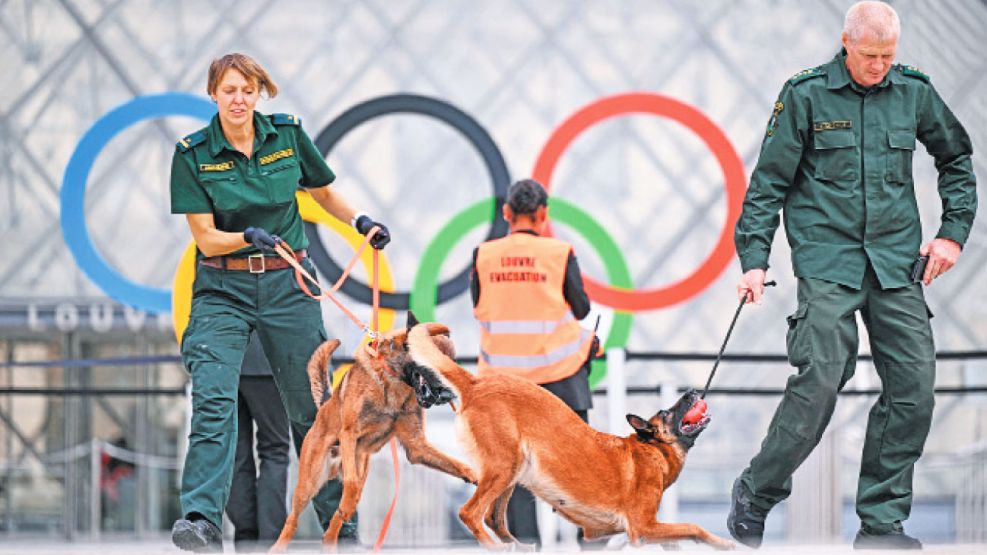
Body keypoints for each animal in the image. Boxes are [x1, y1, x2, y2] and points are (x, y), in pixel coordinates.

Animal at [272, 318, 476, 552]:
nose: (452, 392)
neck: (394, 379)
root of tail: (324, 405)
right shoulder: (349, 435)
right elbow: (350, 483)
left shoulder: (417, 447)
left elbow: (455, 463)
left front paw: (475, 476)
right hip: (309, 482)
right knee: (294, 519)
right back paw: (277, 547)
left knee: (336, 520)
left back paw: (332, 540)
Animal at [406, 322, 736, 552]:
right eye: (667, 411)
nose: (693, 392)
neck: (652, 450)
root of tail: (476, 384)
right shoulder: (643, 526)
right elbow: (693, 527)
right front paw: (723, 544)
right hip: (504, 467)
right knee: (470, 513)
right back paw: (494, 547)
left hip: (513, 470)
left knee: (493, 517)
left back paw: (518, 546)